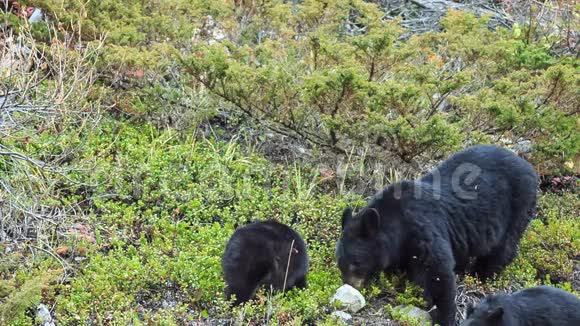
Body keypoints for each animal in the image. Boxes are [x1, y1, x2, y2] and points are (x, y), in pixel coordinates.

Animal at [336, 145, 540, 326]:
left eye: (356, 263)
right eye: (340, 263)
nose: (349, 286)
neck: (397, 221)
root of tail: (529, 167)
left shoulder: (422, 229)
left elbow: (437, 272)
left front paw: (444, 317)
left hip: (518, 204)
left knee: (503, 246)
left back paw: (482, 273)